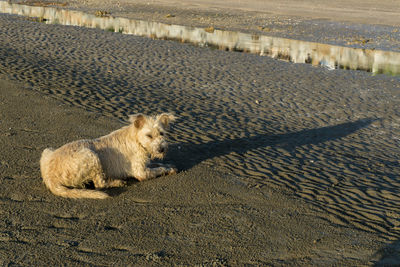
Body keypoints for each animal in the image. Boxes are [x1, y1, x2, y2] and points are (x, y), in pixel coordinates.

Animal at [40, 113, 177, 199]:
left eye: (161, 133)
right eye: (149, 136)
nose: (161, 149)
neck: (136, 139)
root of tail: (49, 177)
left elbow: (157, 164)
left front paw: (168, 165)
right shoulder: (142, 173)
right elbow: (158, 169)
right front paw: (169, 169)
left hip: (47, 151)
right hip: (91, 156)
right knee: (100, 184)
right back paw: (117, 182)